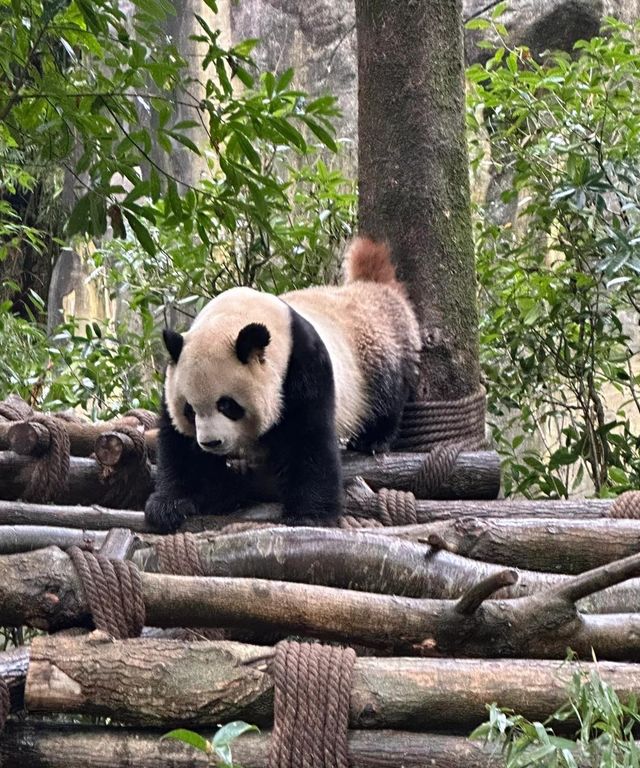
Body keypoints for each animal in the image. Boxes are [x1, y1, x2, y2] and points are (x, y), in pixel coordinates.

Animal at [147, 237, 422, 532]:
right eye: (189, 410)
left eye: (227, 405)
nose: (211, 442)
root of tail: (372, 288)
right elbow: (178, 446)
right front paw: (169, 506)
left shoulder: (302, 365)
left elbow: (307, 438)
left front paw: (308, 515)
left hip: (375, 356)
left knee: (387, 395)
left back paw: (371, 439)